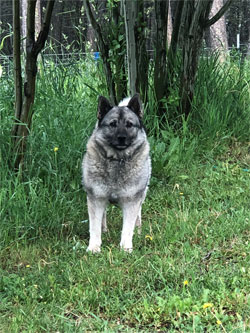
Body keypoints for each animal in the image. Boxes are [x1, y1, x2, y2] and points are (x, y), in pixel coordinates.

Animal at [83, 93, 151, 252]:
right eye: (113, 124)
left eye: (129, 124)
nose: (121, 137)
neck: (117, 160)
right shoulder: (96, 198)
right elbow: (94, 227)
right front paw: (94, 247)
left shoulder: (131, 200)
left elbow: (127, 228)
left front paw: (126, 248)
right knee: (103, 216)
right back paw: (104, 230)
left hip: (142, 194)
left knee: (138, 214)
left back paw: (138, 230)